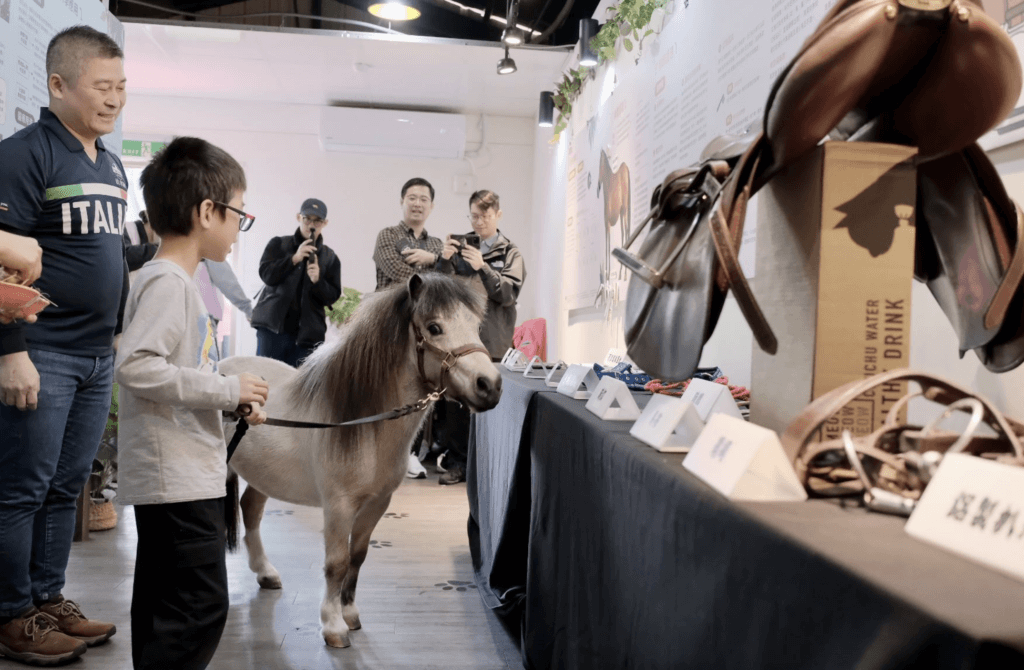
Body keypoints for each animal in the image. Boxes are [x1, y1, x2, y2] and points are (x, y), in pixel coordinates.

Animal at [217, 273, 502, 648]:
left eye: (476, 325)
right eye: (434, 327)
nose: (490, 386)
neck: (362, 425)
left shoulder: (377, 503)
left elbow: (358, 556)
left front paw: (350, 614)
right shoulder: (339, 507)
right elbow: (336, 563)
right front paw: (333, 626)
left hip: (264, 474)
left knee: (250, 510)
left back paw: (265, 573)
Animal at [597, 149, 632, 282]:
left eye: (600, 163)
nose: (598, 187)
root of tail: (626, 167)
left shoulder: (606, 223)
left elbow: (607, 243)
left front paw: (607, 273)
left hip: (624, 209)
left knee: (625, 231)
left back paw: (624, 273)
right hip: (623, 211)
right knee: (624, 232)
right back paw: (622, 272)